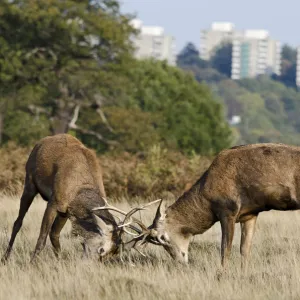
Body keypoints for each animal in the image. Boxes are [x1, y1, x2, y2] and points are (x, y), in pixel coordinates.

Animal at [1, 134, 157, 262]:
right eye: (101, 249)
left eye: (112, 255)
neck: (80, 192)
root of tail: (40, 142)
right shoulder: (54, 202)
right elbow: (41, 238)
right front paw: (32, 263)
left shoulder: (66, 210)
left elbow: (53, 233)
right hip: (29, 183)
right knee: (18, 222)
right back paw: (6, 257)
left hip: (63, 213)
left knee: (54, 233)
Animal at [104, 143, 300, 272]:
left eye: (162, 238)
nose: (180, 261)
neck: (207, 196)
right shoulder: (250, 213)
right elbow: (245, 250)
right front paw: (243, 274)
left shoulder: (227, 209)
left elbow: (225, 249)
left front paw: (222, 274)